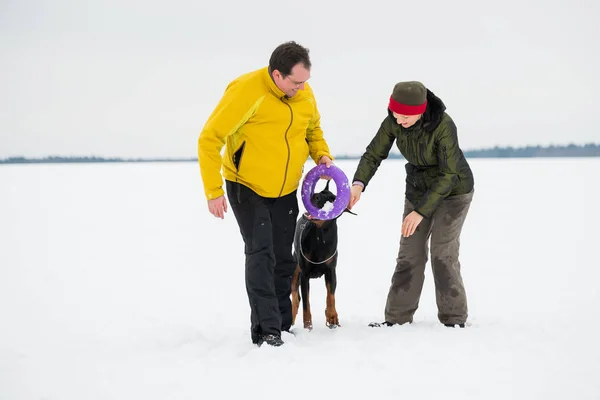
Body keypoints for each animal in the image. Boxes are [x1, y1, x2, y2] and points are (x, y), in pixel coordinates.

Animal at [292, 181, 354, 332]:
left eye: (332, 199)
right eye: (320, 193)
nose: (315, 195)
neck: (320, 237)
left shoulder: (331, 270)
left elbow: (330, 296)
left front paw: (332, 317)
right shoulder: (305, 274)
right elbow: (306, 303)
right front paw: (308, 326)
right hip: (296, 265)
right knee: (295, 294)